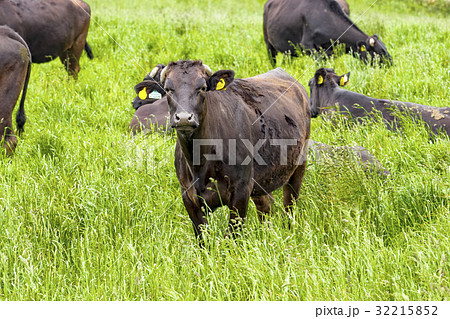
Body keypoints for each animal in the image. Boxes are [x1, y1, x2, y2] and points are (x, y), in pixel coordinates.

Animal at [160, 60, 312, 245]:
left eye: (202, 88)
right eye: (168, 89)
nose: (183, 118)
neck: (200, 162)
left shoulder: (241, 190)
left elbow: (231, 236)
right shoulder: (188, 196)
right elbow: (203, 238)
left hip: (298, 166)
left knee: (289, 206)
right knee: (265, 207)